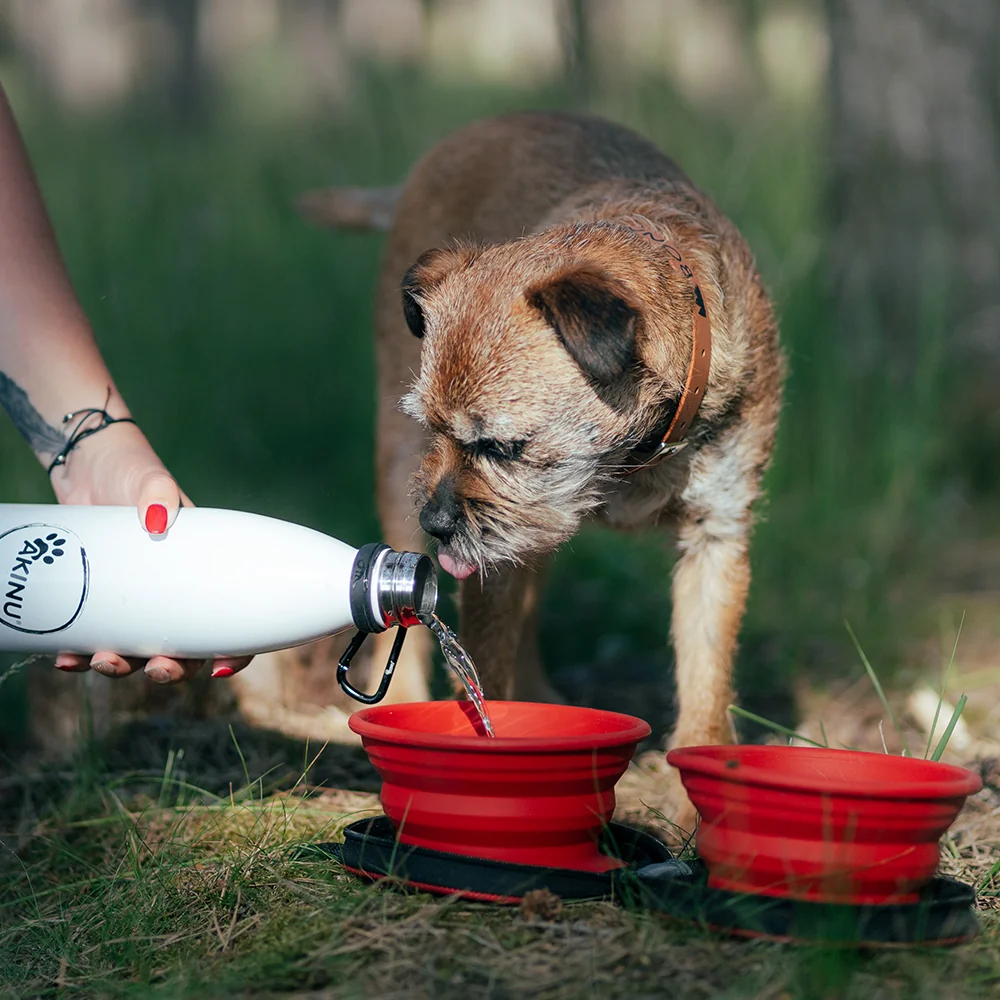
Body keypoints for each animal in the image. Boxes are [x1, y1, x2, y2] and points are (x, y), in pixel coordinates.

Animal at [284, 113, 780, 824]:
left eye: (501, 447)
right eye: (436, 428)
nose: (435, 521)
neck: (634, 455)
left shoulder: (716, 538)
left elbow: (707, 672)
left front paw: (696, 795)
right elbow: (483, 654)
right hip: (401, 466)